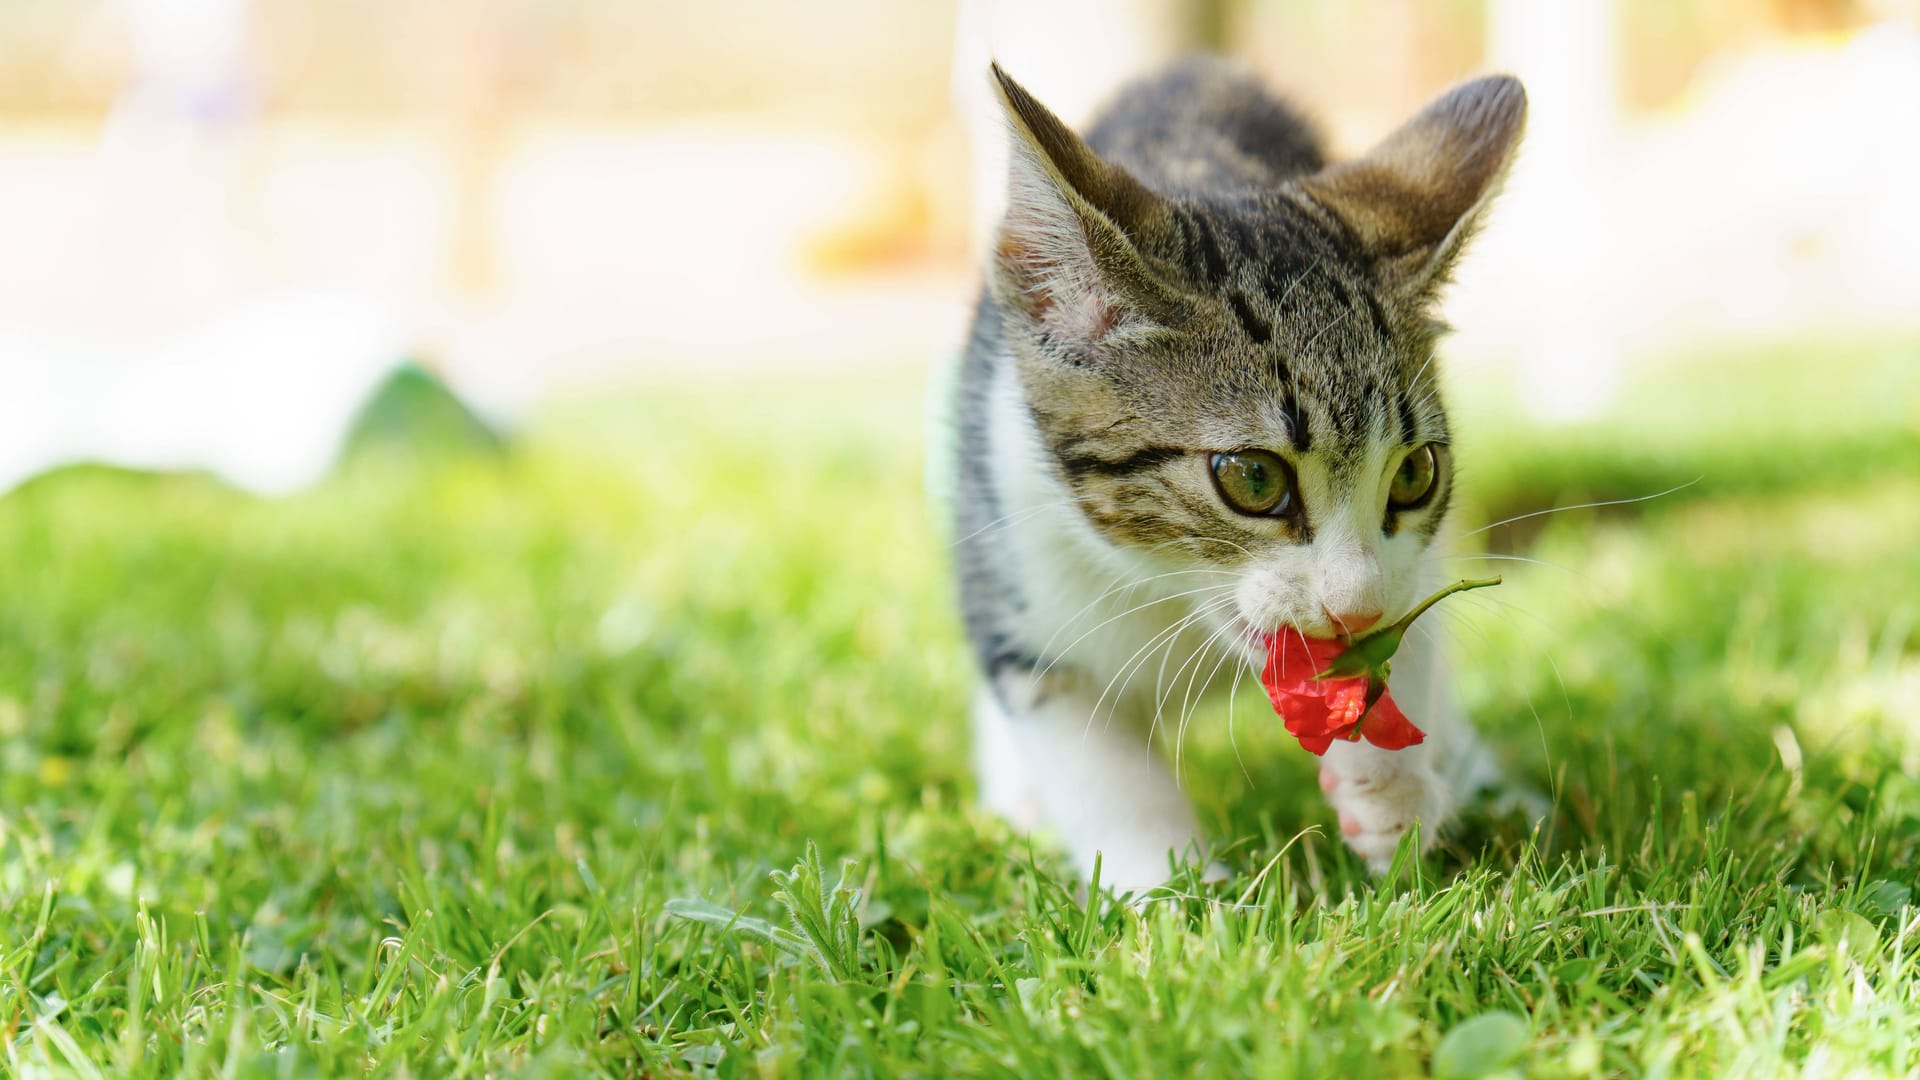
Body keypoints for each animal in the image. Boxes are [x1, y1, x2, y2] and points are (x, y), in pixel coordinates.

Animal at [952, 54, 1520, 887]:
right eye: (1253, 479)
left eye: (1415, 474)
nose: (1352, 608)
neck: (1174, 599)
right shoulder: (1017, 555)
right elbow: (1099, 768)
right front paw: (1173, 895)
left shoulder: (1411, 567)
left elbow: (1408, 627)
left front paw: (1391, 790)